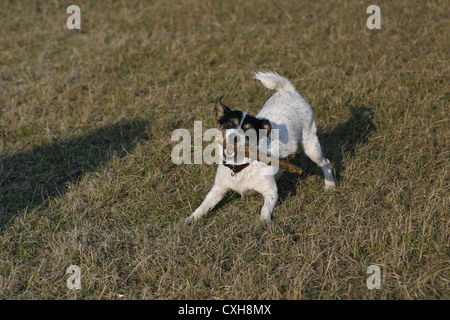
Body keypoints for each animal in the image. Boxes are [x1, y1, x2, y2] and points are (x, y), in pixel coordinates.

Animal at [185, 71, 336, 224]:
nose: (234, 137)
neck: (240, 166)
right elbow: (202, 207)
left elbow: (265, 208)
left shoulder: (271, 192)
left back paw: (330, 186)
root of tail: (288, 90)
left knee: (325, 162)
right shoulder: (218, 190)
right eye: (229, 124)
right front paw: (189, 220)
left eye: (249, 131)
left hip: (310, 145)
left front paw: (264, 222)